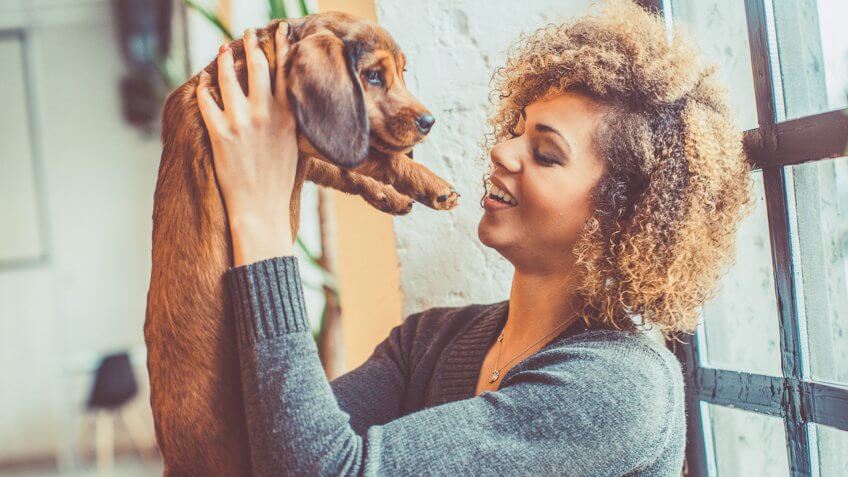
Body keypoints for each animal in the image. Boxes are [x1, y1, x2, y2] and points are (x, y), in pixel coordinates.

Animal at [149, 13, 460, 474]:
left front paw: (390, 196)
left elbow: (344, 169)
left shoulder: (310, 149)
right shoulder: (299, 134)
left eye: (401, 73)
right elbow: (376, 156)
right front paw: (430, 184)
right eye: (373, 76)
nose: (429, 122)